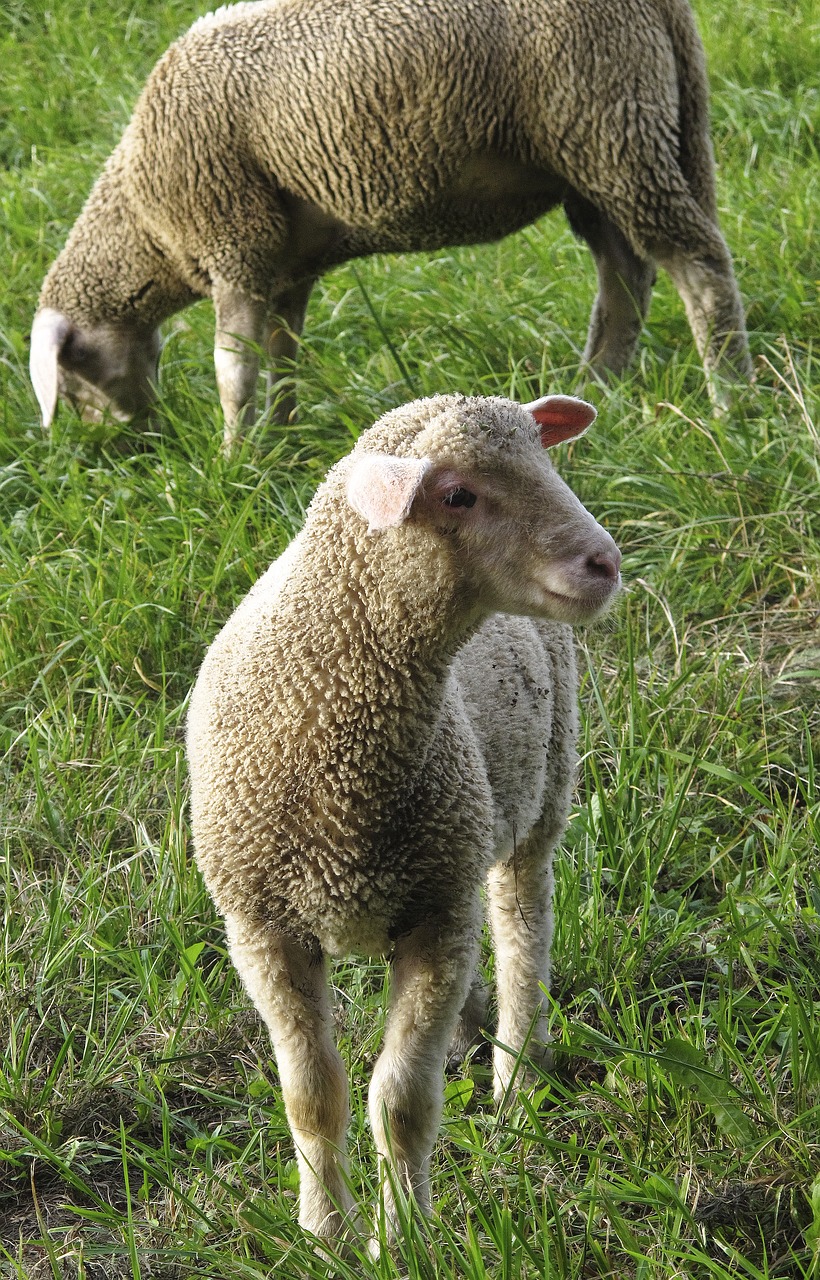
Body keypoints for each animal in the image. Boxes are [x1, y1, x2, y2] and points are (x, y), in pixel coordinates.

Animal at [30, 0, 747, 450]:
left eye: (72, 374)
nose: (134, 443)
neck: (143, 223)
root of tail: (667, 11)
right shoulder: (286, 267)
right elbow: (285, 356)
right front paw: (282, 441)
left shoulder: (236, 241)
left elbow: (234, 372)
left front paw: (232, 457)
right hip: (611, 153)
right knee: (625, 276)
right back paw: (596, 390)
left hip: (609, 124)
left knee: (698, 269)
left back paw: (731, 399)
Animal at [186, 389, 619, 1239]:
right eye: (457, 496)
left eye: (544, 458)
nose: (604, 563)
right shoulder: (262, 928)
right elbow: (313, 1099)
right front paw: (325, 1235)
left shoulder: (435, 915)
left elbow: (401, 1102)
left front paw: (405, 1239)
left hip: (539, 789)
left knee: (522, 925)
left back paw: (518, 1072)